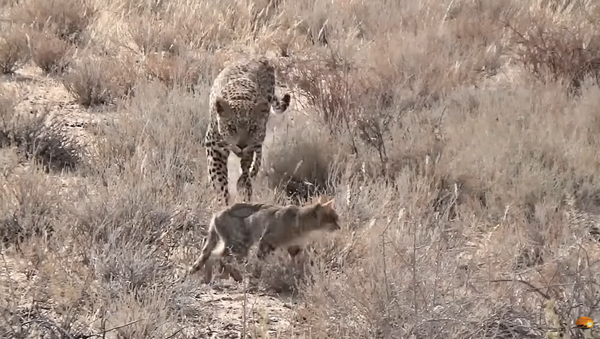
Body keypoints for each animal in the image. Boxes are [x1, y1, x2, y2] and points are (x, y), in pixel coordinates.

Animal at [204, 54, 292, 206]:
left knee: (257, 156)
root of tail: (260, 58)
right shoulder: (214, 145)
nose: (241, 145)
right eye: (231, 127)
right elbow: (218, 177)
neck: (241, 97)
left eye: (252, 128)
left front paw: (242, 186)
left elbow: (245, 169)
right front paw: (222, 200)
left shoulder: (250, 146)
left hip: (260, 135)